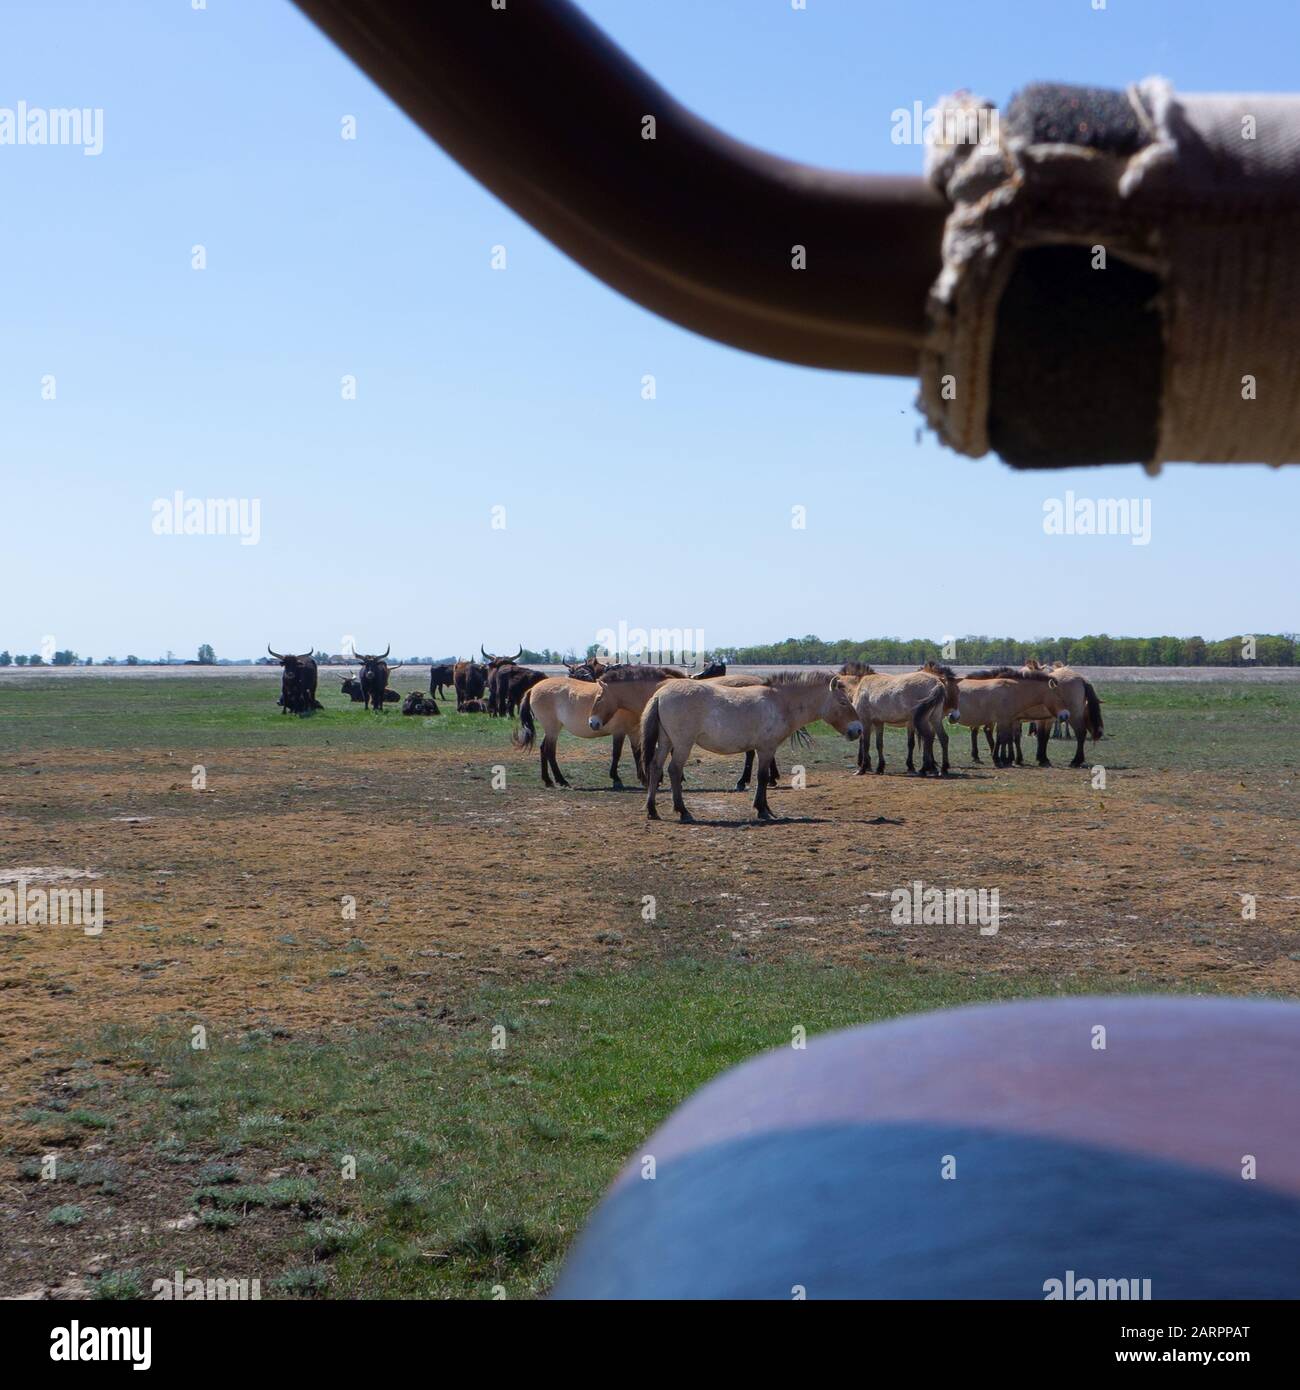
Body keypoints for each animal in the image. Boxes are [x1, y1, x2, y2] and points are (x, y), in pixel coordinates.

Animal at [642, 669, 862, 817]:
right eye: (843, 702)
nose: (858, 730)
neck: (780, 702)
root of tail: (660, 694)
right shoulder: (766, 748)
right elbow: (762, 777)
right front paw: (762, 810)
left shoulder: (765, 749)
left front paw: (765, 808)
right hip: (682, 744)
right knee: (674, 770)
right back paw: (682, 811)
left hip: (666, 741)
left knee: (655, 766)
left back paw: (652, 810)